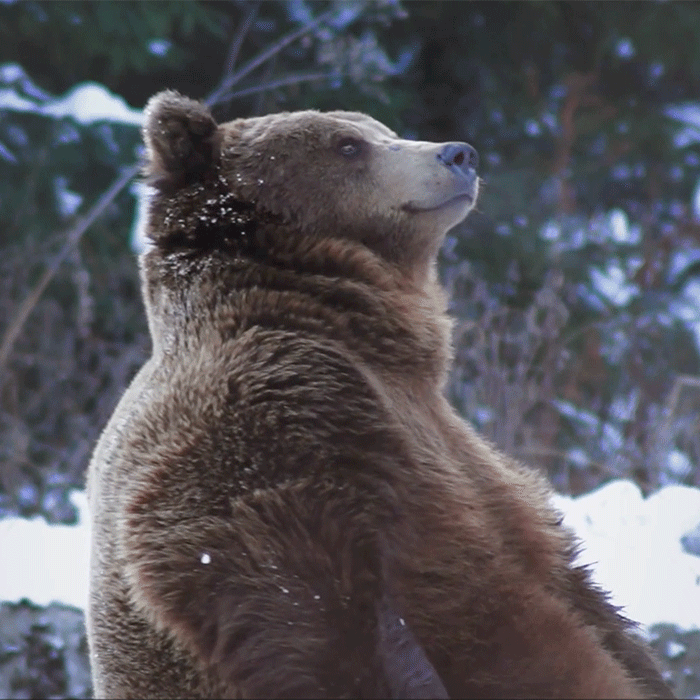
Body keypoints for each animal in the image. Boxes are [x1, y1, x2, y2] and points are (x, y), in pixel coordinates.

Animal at [86, 90, 672, 699]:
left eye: (382, 130)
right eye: (347, 145)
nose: (459, 154)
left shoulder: (451, 438)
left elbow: (568, 573)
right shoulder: (263, 419)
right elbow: (303, 596)